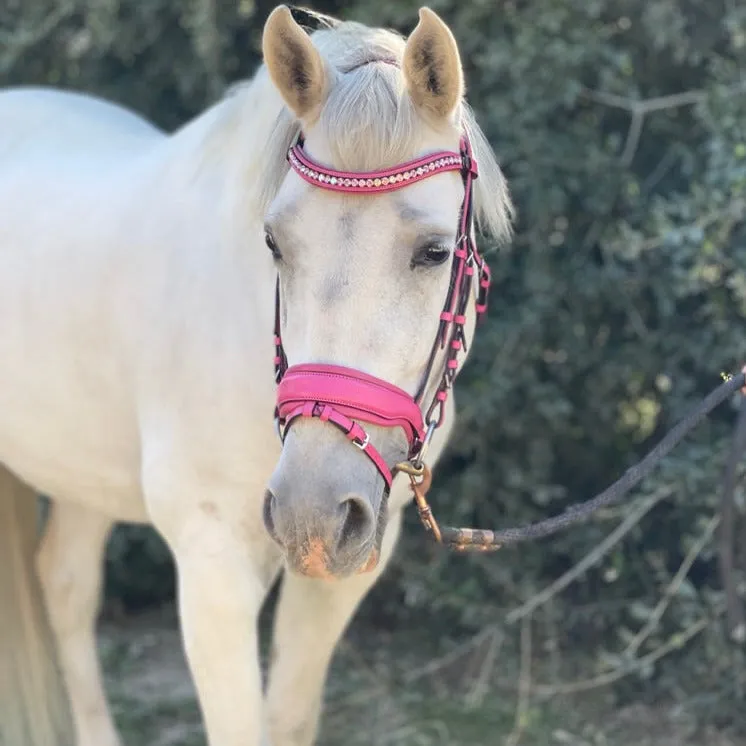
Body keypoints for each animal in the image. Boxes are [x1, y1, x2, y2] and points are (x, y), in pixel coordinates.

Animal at [0, 7, 512, 744]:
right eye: (273, 242)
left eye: (435, 251)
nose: (310, 509)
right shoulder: (212, 564)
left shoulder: (345, 565)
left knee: (65, 587)